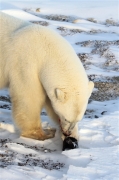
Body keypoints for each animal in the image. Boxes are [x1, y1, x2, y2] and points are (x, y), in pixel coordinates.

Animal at [0, 12, 94, 142]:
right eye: (66, 118)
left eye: (77, 120)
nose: (67, 132)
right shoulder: (26, 63)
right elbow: (29, 97)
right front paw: (42, 134)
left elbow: (50, 101)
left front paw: (73, 135)